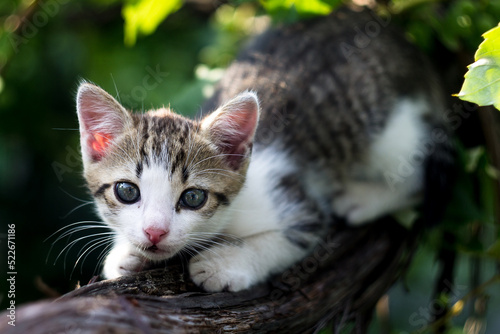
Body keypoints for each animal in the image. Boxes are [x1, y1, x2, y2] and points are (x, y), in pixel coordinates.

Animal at [74, 6, 454, 290]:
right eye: (126, 191)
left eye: (193, 197)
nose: (155, 231)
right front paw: (125, 253)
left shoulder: (297, 203)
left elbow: (284, 240)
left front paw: (224, 263)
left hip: (393, 131)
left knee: (415, 181)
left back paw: (362, 198)